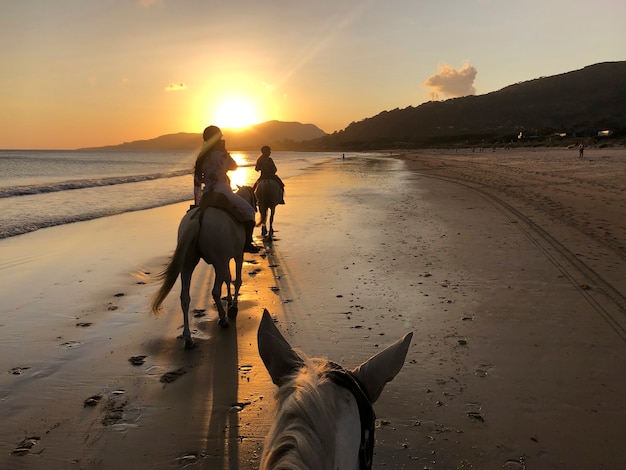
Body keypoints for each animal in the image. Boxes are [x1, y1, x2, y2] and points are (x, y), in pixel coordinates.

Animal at [151, 186, 256, 348]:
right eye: (255, 197)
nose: (256, 207)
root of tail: (200, 214)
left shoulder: (223, 260)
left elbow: (228, 278)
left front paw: (229, 300)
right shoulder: (236, 256)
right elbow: (236, 280)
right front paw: (233, 306)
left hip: (188, 264)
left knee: (185, 297)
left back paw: (188, 338)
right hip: (217, 262)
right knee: (215, 292)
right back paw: (223, 319)